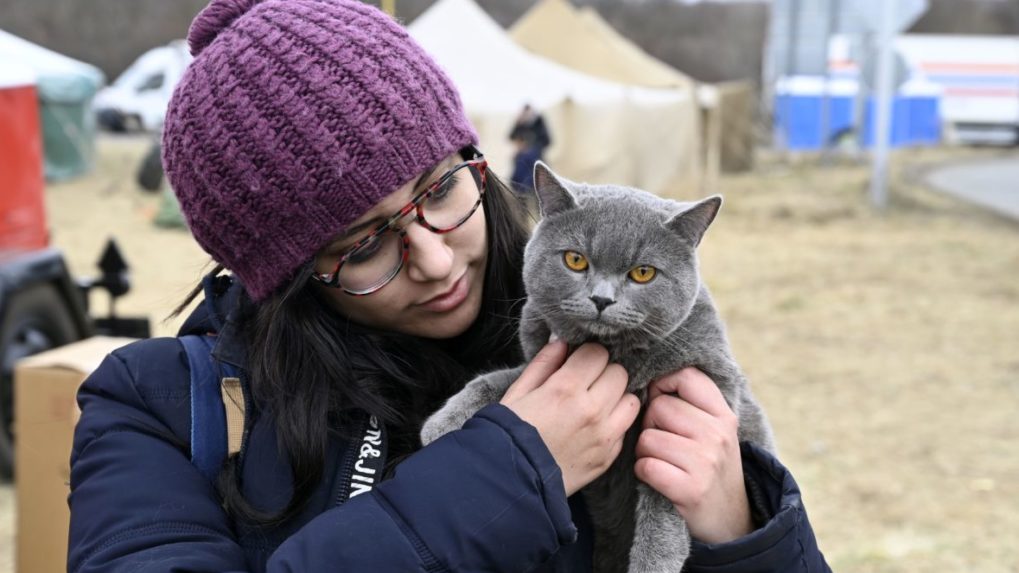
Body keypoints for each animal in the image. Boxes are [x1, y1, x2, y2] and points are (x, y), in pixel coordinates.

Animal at [417, 162, 774, 570]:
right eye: (575, 260)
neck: (614, 355)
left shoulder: (710, 381)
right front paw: (441, 422)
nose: (602, 299)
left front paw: (653, 563)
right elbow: (500, 380)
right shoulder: (546, 356)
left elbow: (662, 502)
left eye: (643, 273)